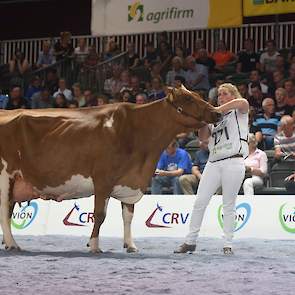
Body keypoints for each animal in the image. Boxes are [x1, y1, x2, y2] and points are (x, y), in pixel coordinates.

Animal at [0, 86, 220, 254]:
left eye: (198, 95)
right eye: (188, 98)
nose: (217, 112)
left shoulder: (130, 182)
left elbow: (128, 215)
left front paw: (130, 245)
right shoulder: (103, 179)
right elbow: (99, 214)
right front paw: (94, 246)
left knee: (8, 211)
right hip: (5, 177)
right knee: (4, 211)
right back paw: (12, 244)